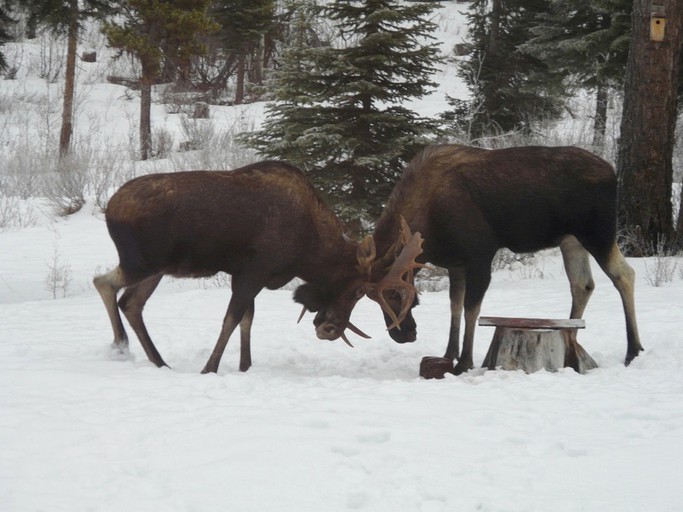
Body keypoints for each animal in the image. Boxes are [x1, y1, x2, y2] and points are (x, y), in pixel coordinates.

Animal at [93, 160, 420, 372]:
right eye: (358, 291)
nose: (330, 329)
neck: (308, 250)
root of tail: (110, 208)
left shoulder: (245, 275)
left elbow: (247, 320)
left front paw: (245, 366)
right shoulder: (254, 271)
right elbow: (232, 319)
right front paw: (209, 368)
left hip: (158, 268)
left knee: (131, 302)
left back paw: (159, 361)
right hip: (143, 261)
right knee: (103, 282)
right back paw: (120, 346)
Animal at [298, 144, 640, 376]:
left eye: (395, 292)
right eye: (371, 297)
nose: (403, 334)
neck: (428, 225)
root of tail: (613, 172)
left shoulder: (479, 254)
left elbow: (472, 310)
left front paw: (465, 361)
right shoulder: (455, 263)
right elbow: (455, 306)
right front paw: (448, 353)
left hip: (598, 231)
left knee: (624, 274)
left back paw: (632, 351)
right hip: (570, 239)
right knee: (583, 284)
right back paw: (571, 338)